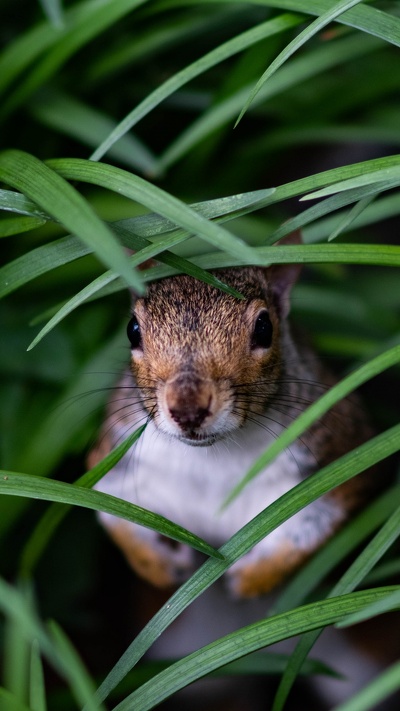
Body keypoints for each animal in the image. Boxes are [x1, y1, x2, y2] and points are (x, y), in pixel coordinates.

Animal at [87, 235, 376, 600]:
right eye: (132, 330)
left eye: (264, 328)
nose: (188, 409)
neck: (212, 459)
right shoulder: (116, 458)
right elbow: (115, 516)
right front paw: (157, 565)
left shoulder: (337, 457)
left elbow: (311, 533)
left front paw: (251, 577)